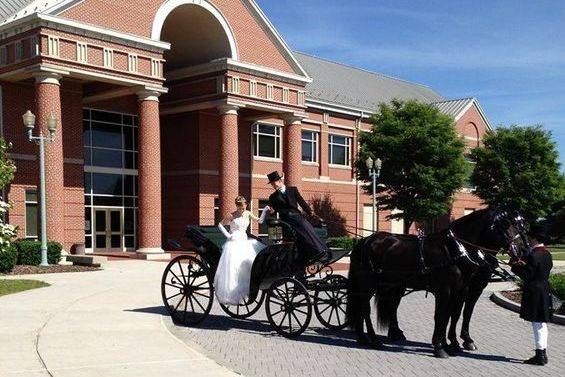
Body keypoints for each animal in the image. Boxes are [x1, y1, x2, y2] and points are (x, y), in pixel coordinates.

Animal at [346, 207, 528, 356]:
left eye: (523, 227)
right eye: (505, 224)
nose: (521, 251)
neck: (456, 249)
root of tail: (365, 241)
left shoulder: (460, 290)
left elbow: (452, 315)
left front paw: (451, 343)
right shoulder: (447, 290)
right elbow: (442, 315)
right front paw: (442, 346)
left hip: (394, 285)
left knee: (387, 307)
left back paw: (370, 336)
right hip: (368, 285)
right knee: (365, 308)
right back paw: (373, 339)